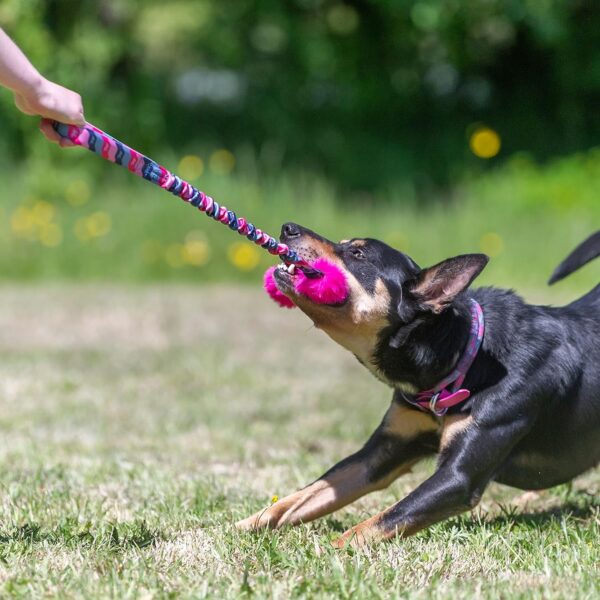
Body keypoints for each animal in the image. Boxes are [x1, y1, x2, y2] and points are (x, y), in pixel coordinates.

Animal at [237, 226, 596, 548]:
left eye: (358, 254)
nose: (288, 228)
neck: (462, 357)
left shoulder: (457, 478)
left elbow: (384, 519)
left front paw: (330, 552)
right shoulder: (380, 454)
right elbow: (302, 497)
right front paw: (241, 527)